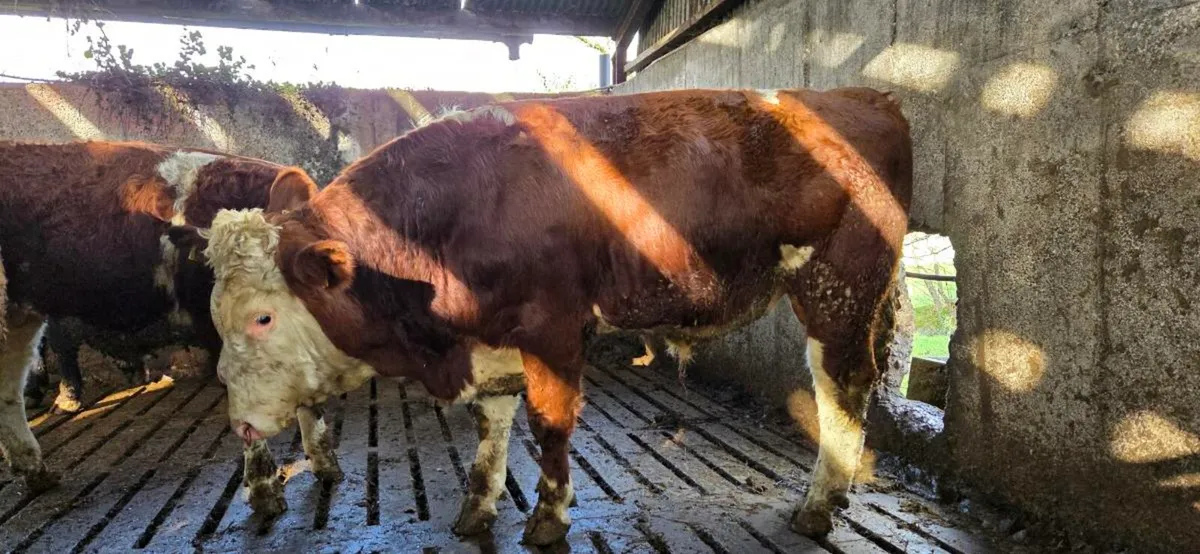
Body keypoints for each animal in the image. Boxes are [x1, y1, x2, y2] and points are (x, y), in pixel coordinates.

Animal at [184, 87, 913, 544]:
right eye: (215, 311)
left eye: (262, 319)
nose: (238, 423)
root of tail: (863, 96)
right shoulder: (491, 339)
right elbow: (492, 424)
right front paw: (477, 508)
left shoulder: (553, 328)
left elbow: (550, 425)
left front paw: (547, 518)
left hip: (838, 288)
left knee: (844, 387)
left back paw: (819, 503)